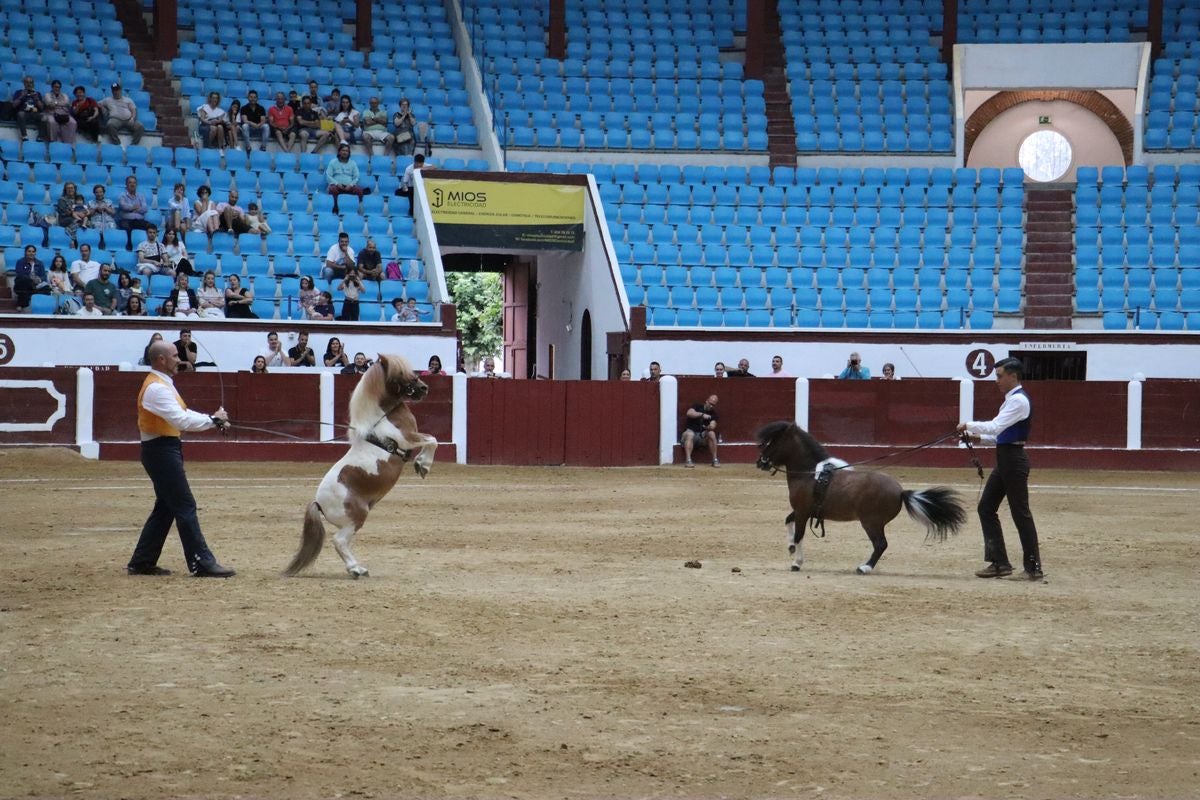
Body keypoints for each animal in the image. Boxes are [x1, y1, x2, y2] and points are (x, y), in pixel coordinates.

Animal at [285, 354, 438, 578]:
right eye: (399, 373)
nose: (423, 388)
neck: (383, 419)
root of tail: (318, 503)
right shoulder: (407, 439)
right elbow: (432, 440)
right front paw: (423, 464)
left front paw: (421, 464)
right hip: (356, 518)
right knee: (339, 541)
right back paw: (357, 569)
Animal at [755, 421, 966, 574]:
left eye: (772, 442)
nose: (760, 462)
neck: (810, 474)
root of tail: (900, 491)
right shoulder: (802, 511)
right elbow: (787, 521)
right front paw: (790, 547)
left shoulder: (802, 512)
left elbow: (799, 534)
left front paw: (797, 563)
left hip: (871, 523)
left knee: (880, 544)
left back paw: (864, 567)